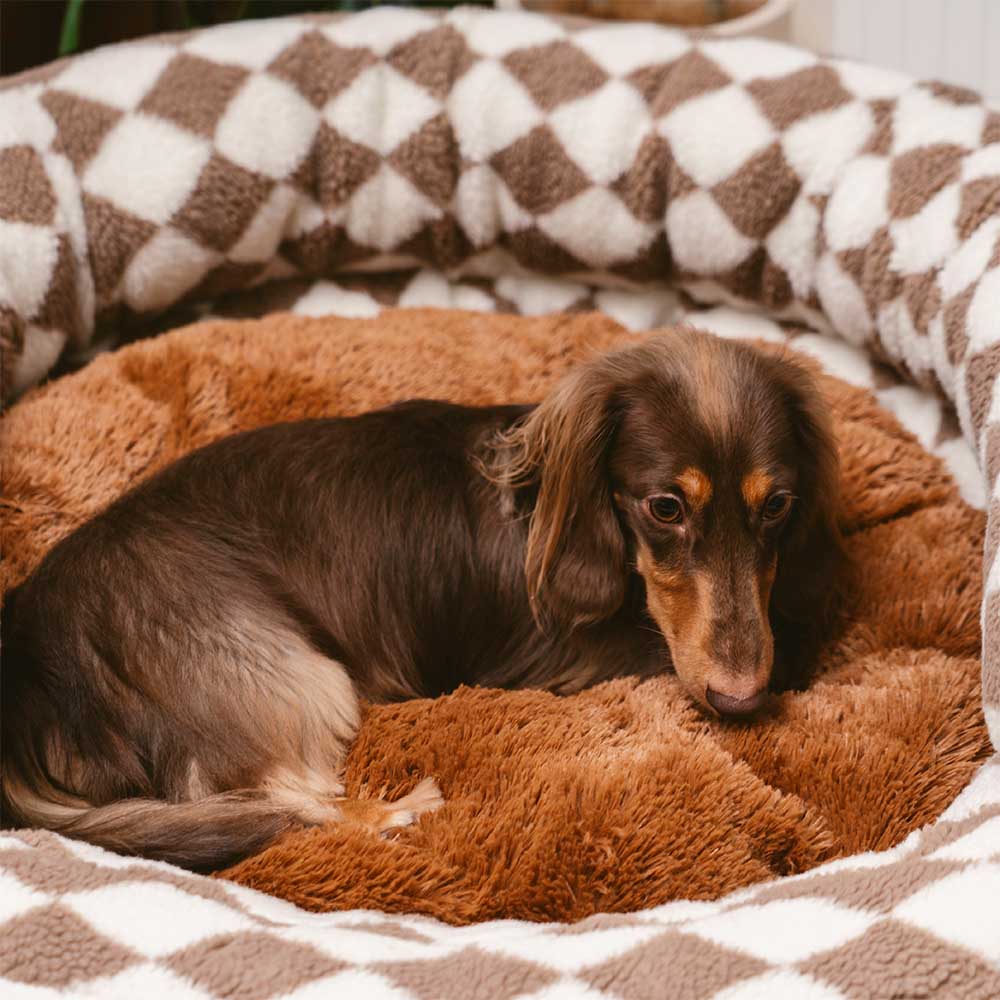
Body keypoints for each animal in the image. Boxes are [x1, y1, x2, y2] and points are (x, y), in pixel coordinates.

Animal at [1, 328, 844, 868]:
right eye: (665, 507)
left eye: (777, 505)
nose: (741, 700)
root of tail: (30, 659)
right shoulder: (561, 656)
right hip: (289, 673)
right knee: (277, 796)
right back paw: (396, 812)